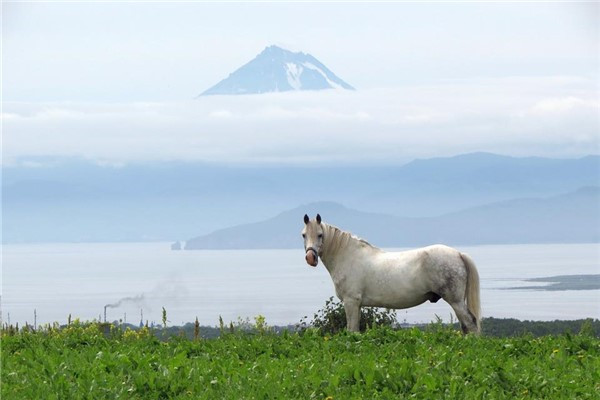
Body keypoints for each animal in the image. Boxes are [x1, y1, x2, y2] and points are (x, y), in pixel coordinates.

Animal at [302, 214, 480, 332]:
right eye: (303, 235)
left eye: (320, 235)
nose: (310, 258)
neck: (348, 256)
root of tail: (458, 254)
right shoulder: (357, 305)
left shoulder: (351, 302)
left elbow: (351, 330)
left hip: (455, 300)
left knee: (470, 323)